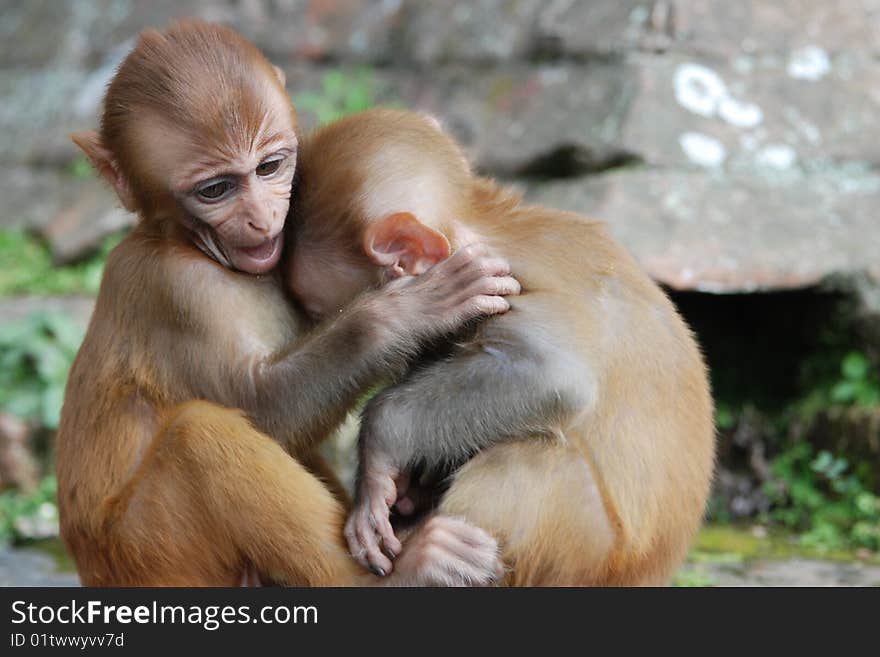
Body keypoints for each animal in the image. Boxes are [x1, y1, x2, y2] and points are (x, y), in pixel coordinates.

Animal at [288, 107, 716, 584]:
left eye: (319, 311)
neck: (487, 226)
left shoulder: (505, 282)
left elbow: (553, 373)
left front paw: (379, 451)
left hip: (585, 550)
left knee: (523, 460)